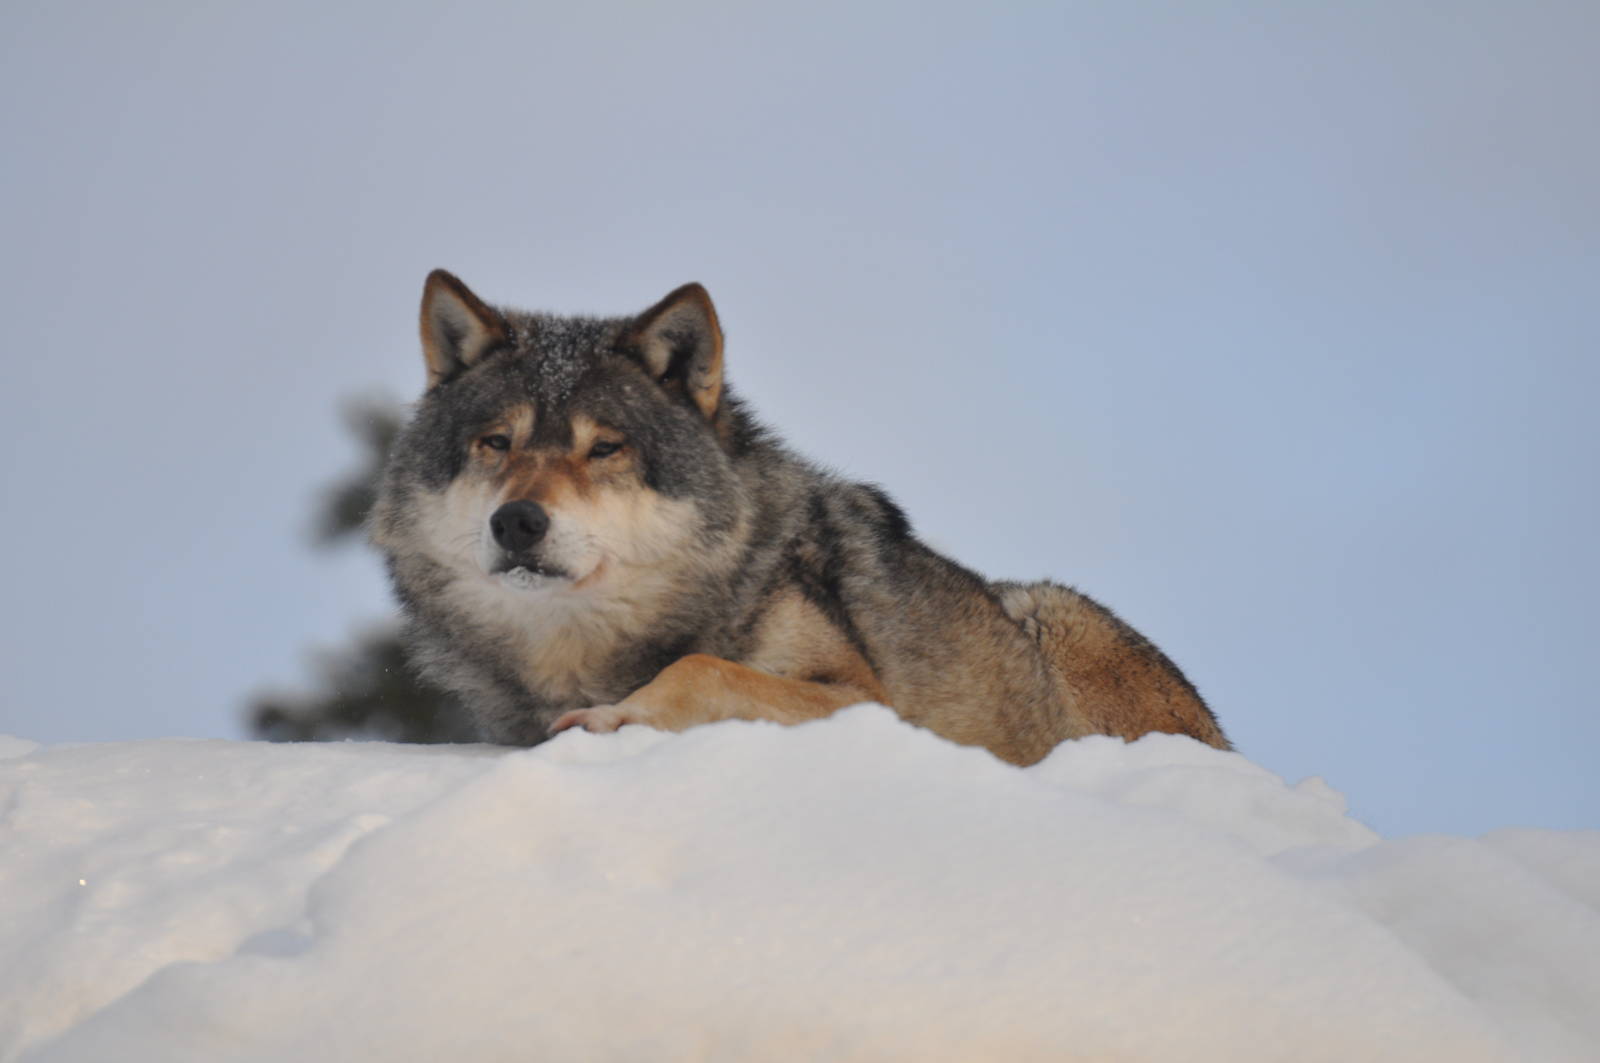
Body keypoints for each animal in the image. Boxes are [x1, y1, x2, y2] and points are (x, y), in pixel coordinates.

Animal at [370, 271, 1229, 763]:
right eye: (496, 443)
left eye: (605, 447)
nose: (517, 521)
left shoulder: (865, 702)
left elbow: (702, 667)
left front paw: (613, 718)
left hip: (1047, 606)